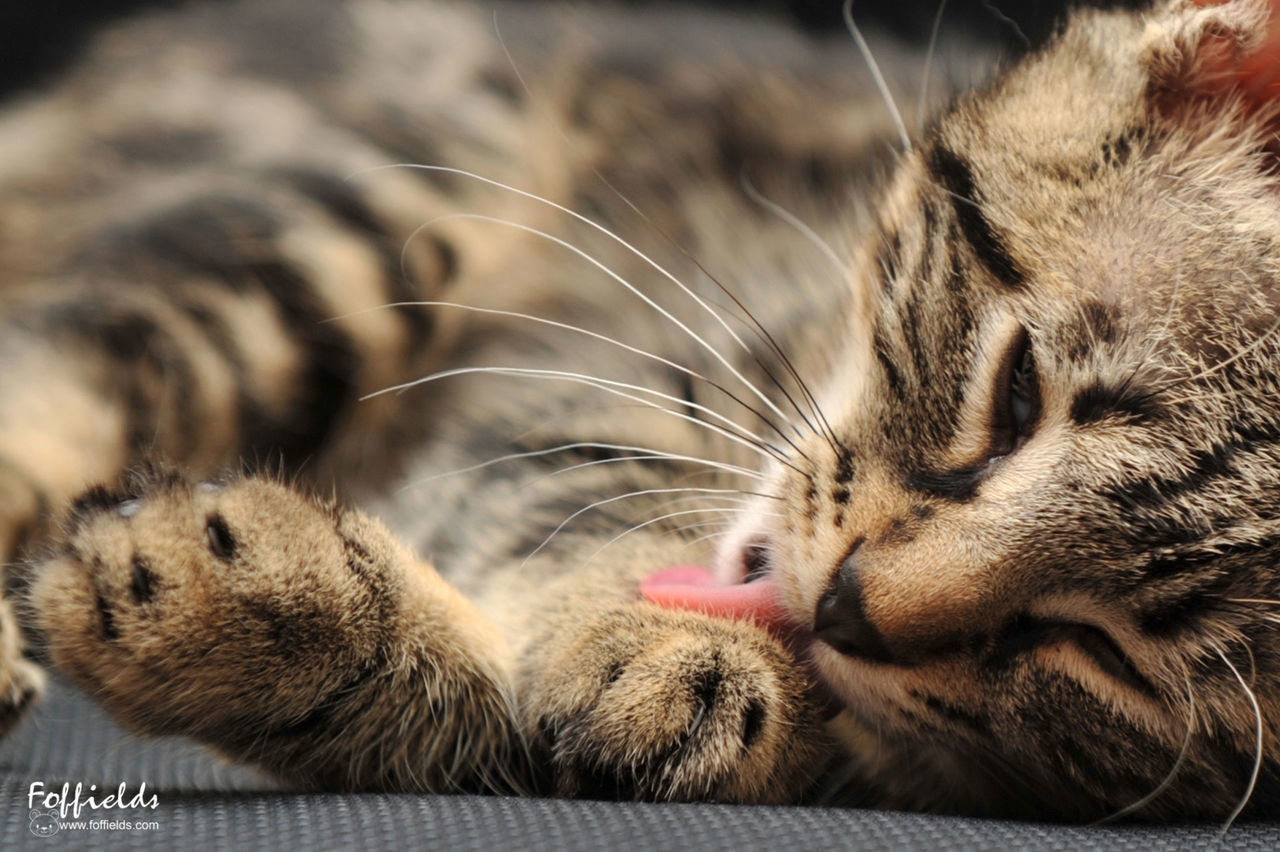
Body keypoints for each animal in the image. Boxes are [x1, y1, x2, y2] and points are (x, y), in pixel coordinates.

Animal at [2, 0, 1280, 823]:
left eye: (1106, 655)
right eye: (1016, 396)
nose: (848, 608)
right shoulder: (582, 368)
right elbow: (577, 490)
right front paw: (666, 643)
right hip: (352, 212)